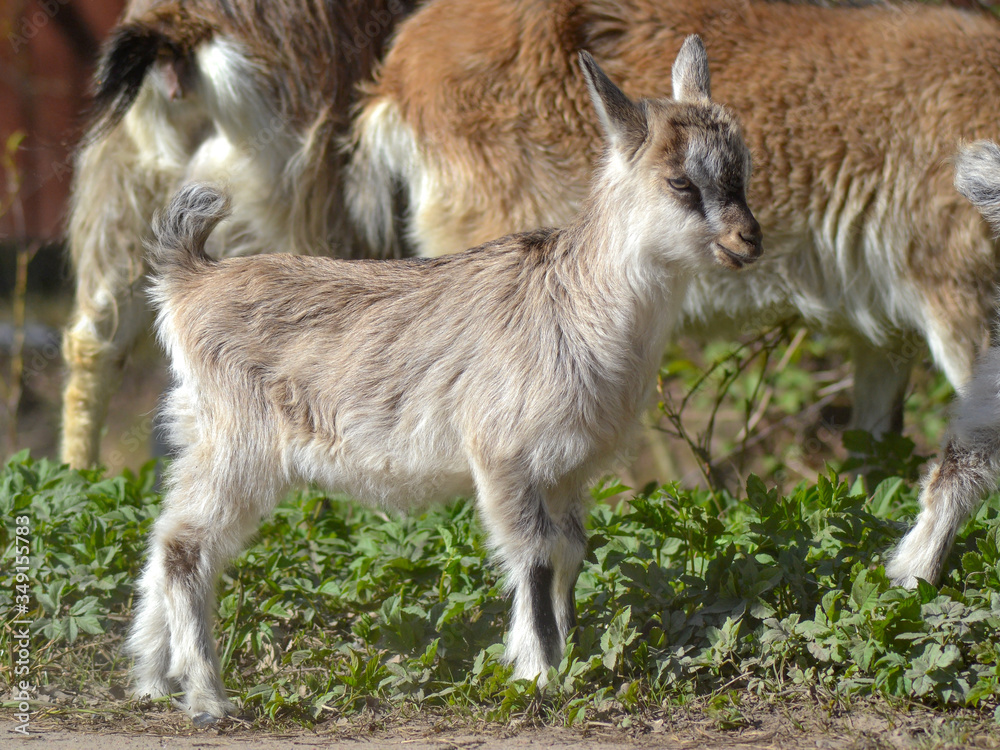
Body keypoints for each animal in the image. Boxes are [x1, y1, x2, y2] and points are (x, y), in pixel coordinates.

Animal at [129, 41, 760, 724]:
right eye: (680, 181)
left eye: (744, 171)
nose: (749, 239)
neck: (578, 305)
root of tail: (190, 278)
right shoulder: (505, 455)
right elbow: (535, 557)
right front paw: (541, 675)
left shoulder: (568, 472)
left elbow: (570, 552)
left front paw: (561, 658)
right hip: (238, 444)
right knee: (186, 550)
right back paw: (208, 698)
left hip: (200, 436)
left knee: (163, 540)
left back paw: (152, 681)